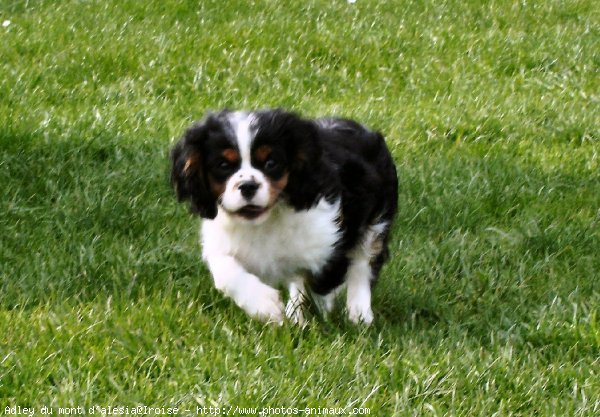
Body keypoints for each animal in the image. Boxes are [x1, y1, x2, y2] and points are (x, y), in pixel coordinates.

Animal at [172, 109, 398, 324]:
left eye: (271, 163)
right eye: (224, 165)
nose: (248, 186)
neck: (265, 221)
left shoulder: (333, 240)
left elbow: (324, 283)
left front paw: (321, 314)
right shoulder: (220, 242)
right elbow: (226, 273)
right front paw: (265, 306)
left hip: (378, 219)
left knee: (363, 263)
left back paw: (359, 313)